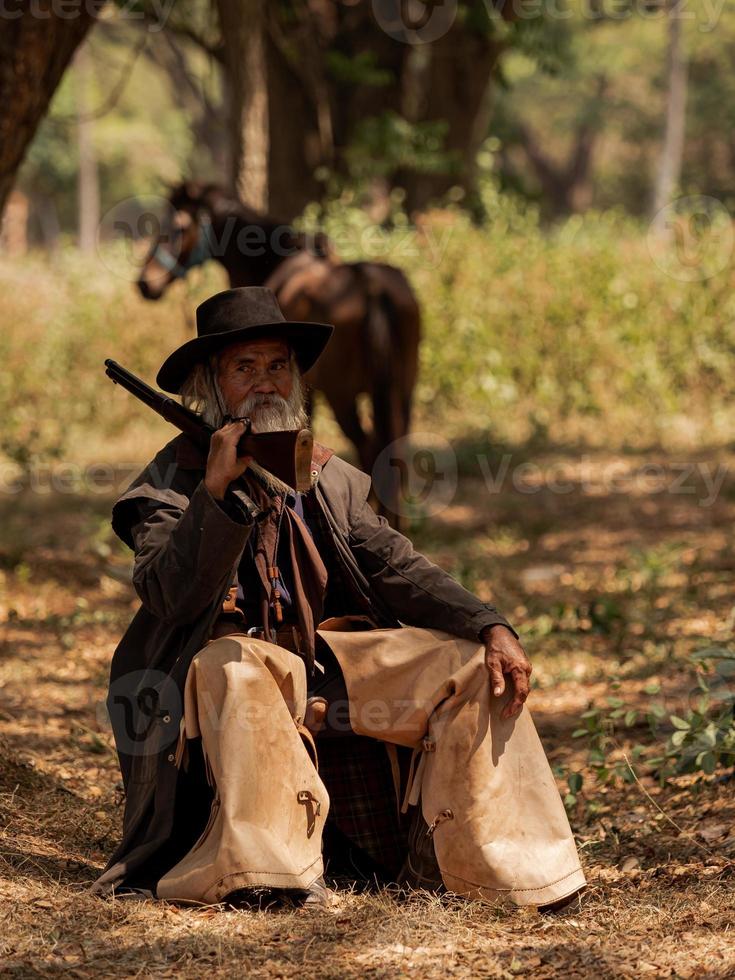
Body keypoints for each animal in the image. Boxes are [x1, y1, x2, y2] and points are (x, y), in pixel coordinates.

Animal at [139, 182, 422, 520]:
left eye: (179, 227)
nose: (145, 283)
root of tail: (370, 285)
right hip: (402, 391)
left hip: (344, 396)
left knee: (370, 450)